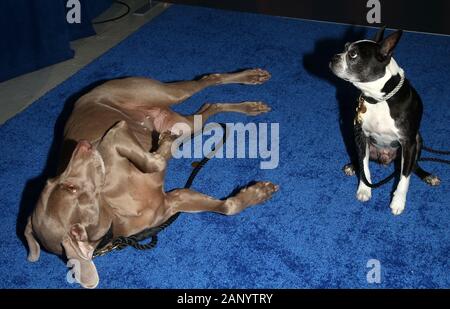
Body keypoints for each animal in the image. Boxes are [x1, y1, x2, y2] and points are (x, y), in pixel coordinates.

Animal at [25, 68, 278, 288]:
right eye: (70, 187)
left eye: (58, 182)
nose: (82, 146)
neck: (115, 208)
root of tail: (83, 96)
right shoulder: (175, 199)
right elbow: (226, 207)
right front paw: (258, 193)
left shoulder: (114, 135)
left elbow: (152, 160)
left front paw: (163, 148)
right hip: (185, 125)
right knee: (210, 105)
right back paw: (250, 106)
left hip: (159, 93)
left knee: (209, 79)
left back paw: (252, 78)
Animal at [328, 27, 438, 214]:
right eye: (344, 47)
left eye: (353, 55)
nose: (334, 57)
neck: (378, 99)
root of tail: (386, 160)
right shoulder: (361, 135)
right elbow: (364, 166)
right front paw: (364, 189)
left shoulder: (408, 143)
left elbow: (404, 177)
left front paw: (398, 202)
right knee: (362, 159)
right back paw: (352, 166)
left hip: (418, 140)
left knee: (413, 166)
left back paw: (427, 176)